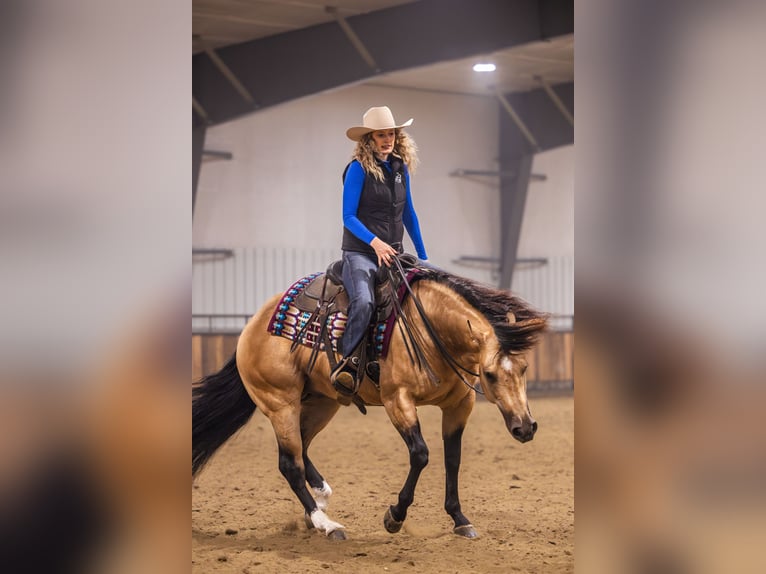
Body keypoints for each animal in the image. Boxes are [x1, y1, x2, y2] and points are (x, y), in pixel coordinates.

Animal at [192, 265, 548, 540]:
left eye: (524, 368)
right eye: (489, 374)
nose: (525, 428)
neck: (429, 330)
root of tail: (252, 327)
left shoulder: (459, 405)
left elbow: (453, 458)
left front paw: (460, 519)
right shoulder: (397, 400)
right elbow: (421, 455)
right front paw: (395, 516)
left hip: (322, 402)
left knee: (302, 448)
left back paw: (320, 500)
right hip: (281, 403)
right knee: (289, 463)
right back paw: (327, 524)